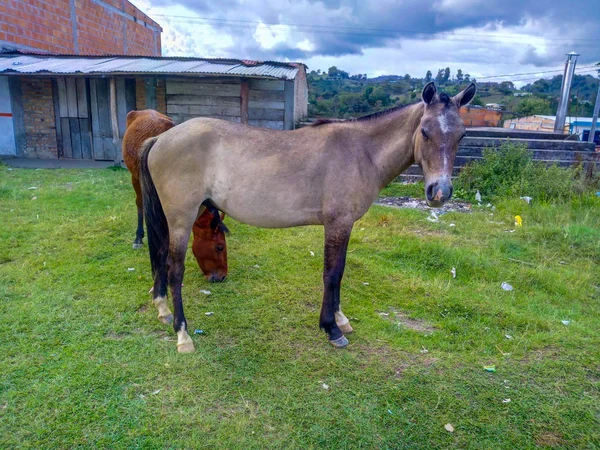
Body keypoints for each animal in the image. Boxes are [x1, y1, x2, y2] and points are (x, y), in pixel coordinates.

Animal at [138, 82, 476, 354]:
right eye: (425, 131)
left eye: (461, 135)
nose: (439, 192)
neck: (361, 152)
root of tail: (161, 138)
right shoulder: (336, 224)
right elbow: (331, 274)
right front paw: (332, 329)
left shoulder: (345, 225)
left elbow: (339, 272)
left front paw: (340, 319)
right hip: (181, 219)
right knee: (175, 270)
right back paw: (183, 335)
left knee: (160, 257)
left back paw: (162, 309)